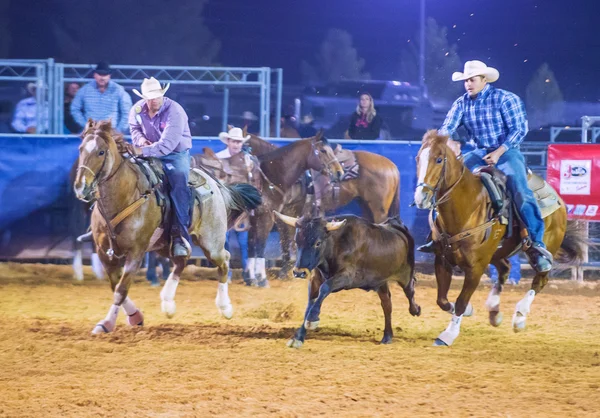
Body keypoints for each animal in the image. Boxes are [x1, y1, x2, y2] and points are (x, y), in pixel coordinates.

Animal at [72, 119, 260, 334]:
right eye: (80, 149)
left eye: (101, 152)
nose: (80, 187)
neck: (125, 196)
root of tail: (217, 184)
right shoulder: (105, 252)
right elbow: (115, 286)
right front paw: (135, 317)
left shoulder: (136, 252)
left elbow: (121, 289)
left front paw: (107, 323)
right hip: (167, 244)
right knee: (181, 260)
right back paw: (168, 302)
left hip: (211, 243)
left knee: (224, 261)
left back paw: (225, 307)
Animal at [414, 131, 584, 346]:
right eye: (418, 159)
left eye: (438, 159)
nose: (420, 197)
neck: (468, 208)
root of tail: (558, 198)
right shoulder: (442, 260)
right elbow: (442, 300)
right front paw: (467, 311)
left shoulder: (476, 267)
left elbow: (461, 301)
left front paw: (449, 334)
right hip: (499, 252)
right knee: (505, 269)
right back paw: (494, 310)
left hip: (547, 248)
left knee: (540, 280)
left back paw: (519, 316)